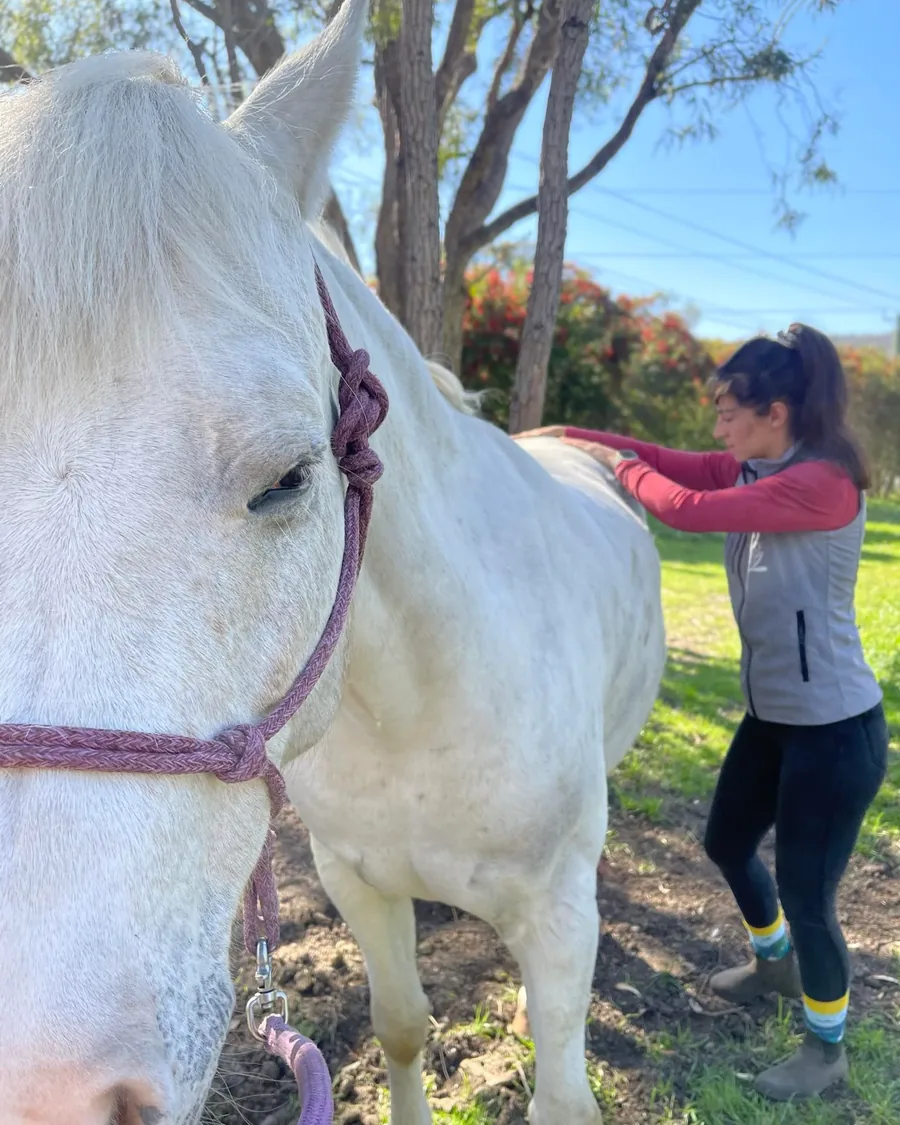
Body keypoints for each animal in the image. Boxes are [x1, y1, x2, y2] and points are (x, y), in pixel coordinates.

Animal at [0, 2, 666, 1123]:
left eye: (290, 475)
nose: (42, 1092)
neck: (416, 710)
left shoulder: (559, 913)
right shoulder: (359, 882)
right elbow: (402, 1027)